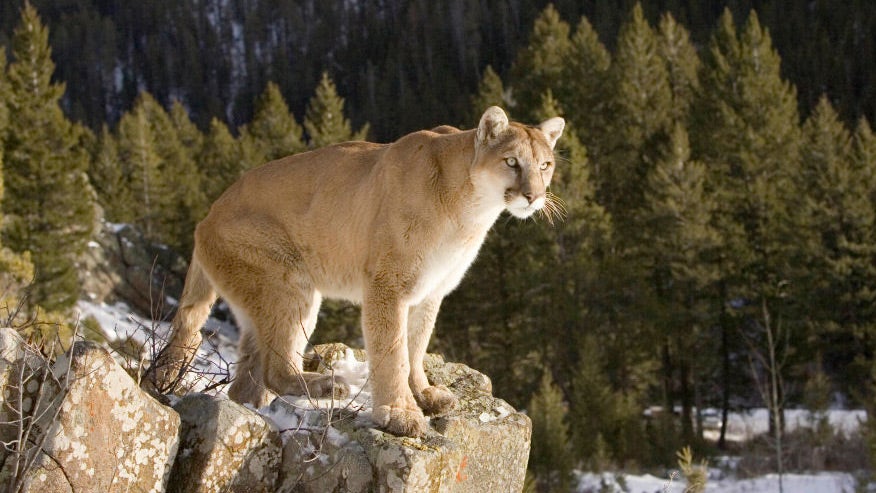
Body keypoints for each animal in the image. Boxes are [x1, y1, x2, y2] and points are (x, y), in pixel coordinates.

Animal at [144, 106, 564, 437]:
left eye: (545, 165)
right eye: (512, 162)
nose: (533, 195)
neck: (470, 209)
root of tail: (206, 216)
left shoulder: (430, 291)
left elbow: (416, 345)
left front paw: (424, 394)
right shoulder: (388, 285)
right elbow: (392, 350)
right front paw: (398, 413)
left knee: (248, 378)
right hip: (289, 281)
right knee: (274, 369)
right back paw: (327, 386)